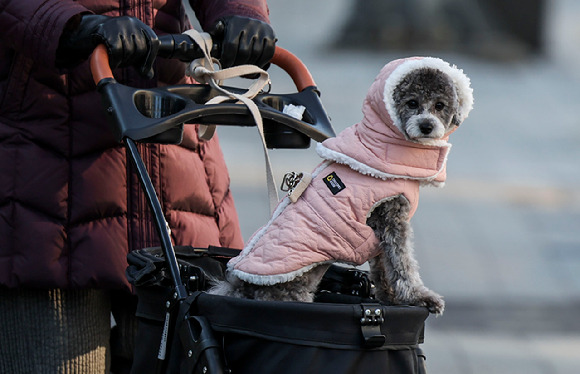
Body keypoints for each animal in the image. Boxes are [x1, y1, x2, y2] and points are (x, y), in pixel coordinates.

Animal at [211, 57, 474, 314]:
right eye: (412, 103)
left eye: (440, 105)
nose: (426, 126)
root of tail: (240, 287)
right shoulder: (391, 219)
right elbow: (402, 263)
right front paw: (418, 297)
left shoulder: (379, 230)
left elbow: (383, 268)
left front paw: (390, 298)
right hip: (289, 289)